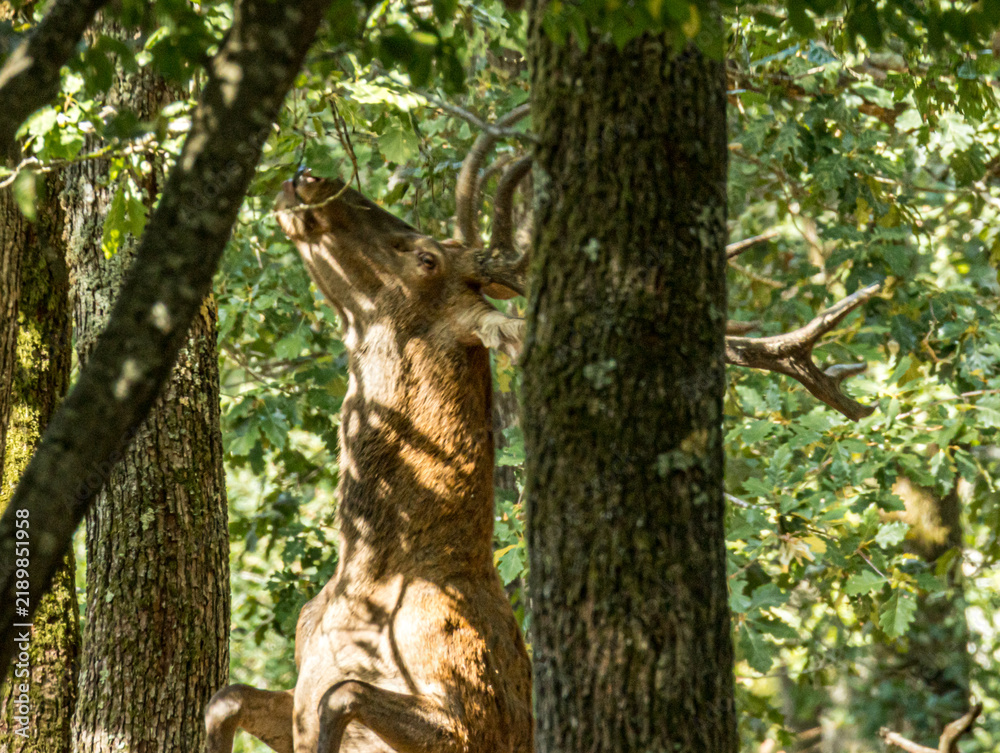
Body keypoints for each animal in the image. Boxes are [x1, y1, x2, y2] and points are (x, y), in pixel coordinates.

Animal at [205, 104, 877, 753]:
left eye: (424, 257)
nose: (307, 179)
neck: (367, 587)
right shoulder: (297, 691)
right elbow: (229, 696)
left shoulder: (472, 718)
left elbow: (341, 694)